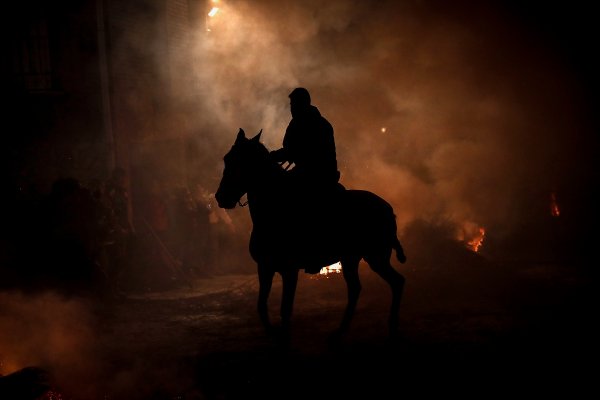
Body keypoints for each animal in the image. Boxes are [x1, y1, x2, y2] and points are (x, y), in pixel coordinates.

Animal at [216, 128, 408, 344]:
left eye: (243, 161)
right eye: (227, 158)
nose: (221, 197)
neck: (274, 210)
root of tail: (388, 209)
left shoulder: (289, 270)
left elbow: (285, 309)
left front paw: (283, 336)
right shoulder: (264, 268)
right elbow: (261, 305)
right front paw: (274, 333)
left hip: (375, 257)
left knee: (395, 282)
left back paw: (391, 327)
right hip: (351, 259)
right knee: (359, 288)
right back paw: (341, 331)